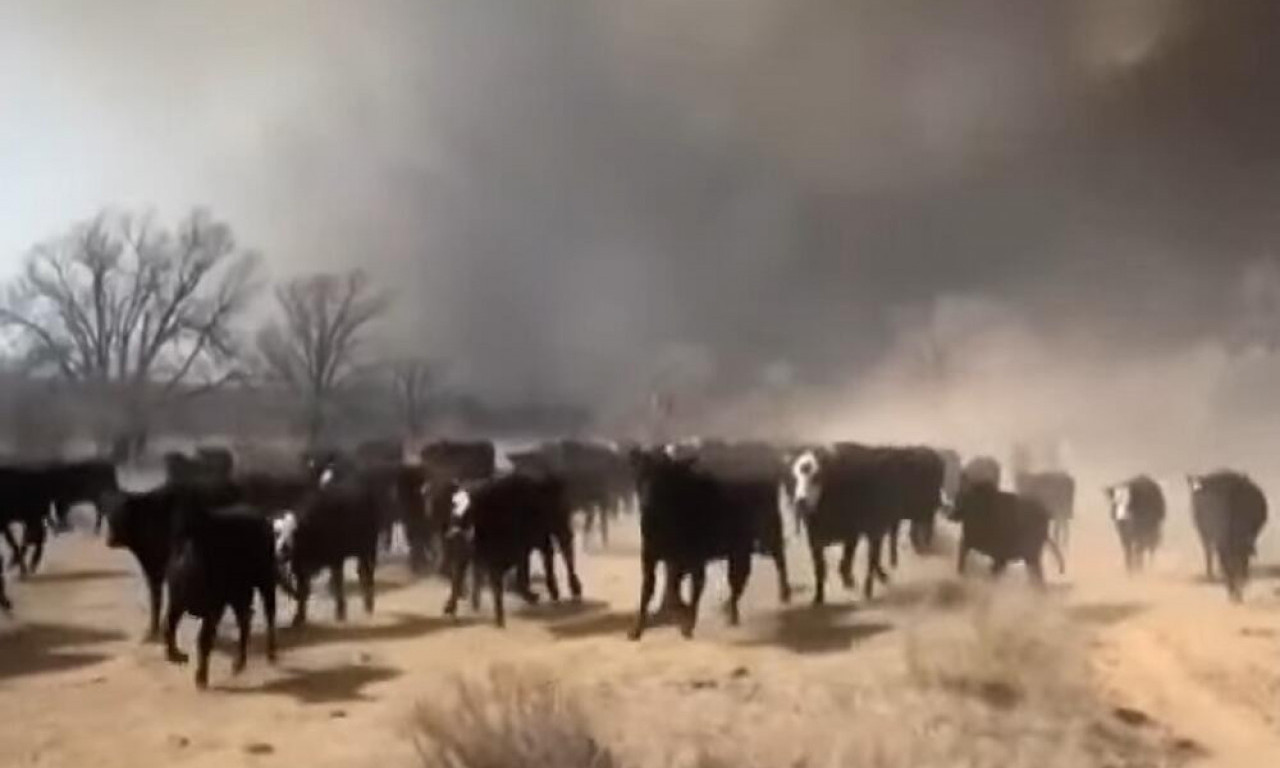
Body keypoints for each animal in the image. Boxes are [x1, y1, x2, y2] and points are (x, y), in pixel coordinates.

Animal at [163, 504, 279, 691]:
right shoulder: (177, 603)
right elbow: (168, 627)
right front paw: (177, 656)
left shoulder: (214, 608)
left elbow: (204, 640)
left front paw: (201, 677)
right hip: (240, 595)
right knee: (246, 621)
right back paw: (239, 664)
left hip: (265, 581)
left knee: (269, 615)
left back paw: (270, 654)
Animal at [440, 471, 581, 627]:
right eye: (453, 504)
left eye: (470, 508)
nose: (453, 533)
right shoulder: (474, 556)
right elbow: (458, 580)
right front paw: (450, 607)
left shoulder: (515, 551)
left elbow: (516, 579)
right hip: (541, 537)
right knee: (548, 555)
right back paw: (553, 591)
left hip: (559, 527)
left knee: (566, 553)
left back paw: (574, 588)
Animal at [632, 450, 757, 642]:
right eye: (641, 472)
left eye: (664, 476)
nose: (646, 500)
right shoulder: (650, 556)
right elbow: (651, 590)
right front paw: (636, 630)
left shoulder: (692, 560)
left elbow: (685, 590)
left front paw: (687, 623)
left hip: (739, 553)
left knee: (735, 583)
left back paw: (730, 617)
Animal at [1182, 471, 1264, 604]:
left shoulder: (1206, 534)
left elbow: (1209, 554)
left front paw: (1211, 575)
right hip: (1239, 539)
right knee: (1240, 561)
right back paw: (1237, 590)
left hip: (1224, 539)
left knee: (1230, 562)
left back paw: (1233, 591)